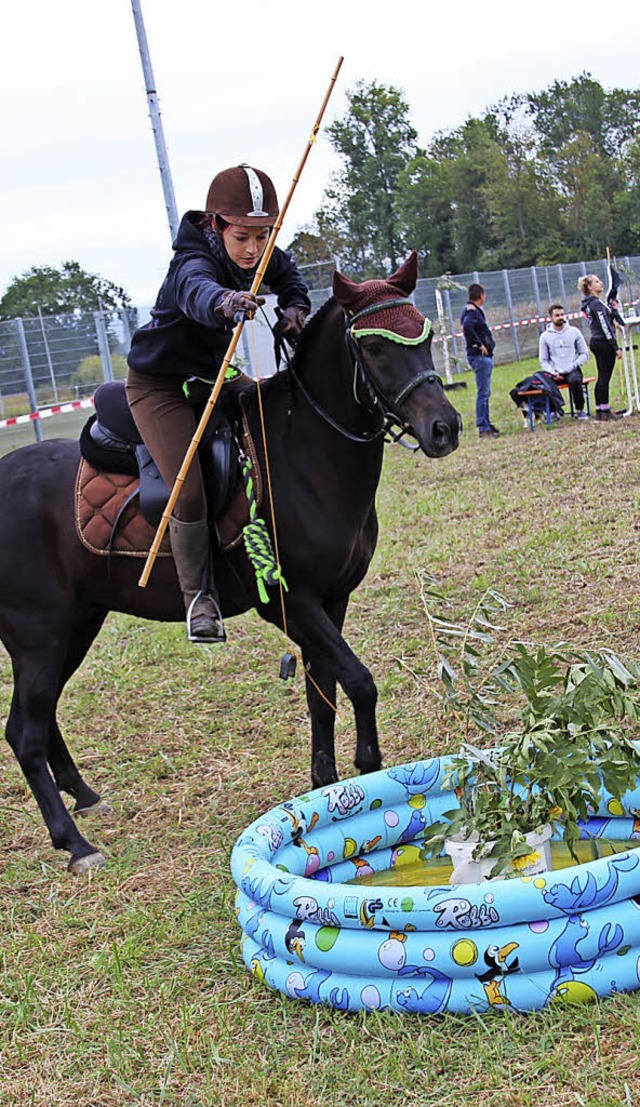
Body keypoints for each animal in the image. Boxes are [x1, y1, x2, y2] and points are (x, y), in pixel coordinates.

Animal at [0, 253, 458, 872]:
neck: (303, 453)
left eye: (424, 336)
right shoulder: (293, 601)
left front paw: (326, 782)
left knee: (40, 719)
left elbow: (321, 694)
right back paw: (75, 843)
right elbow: (359, 683)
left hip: (76, 623)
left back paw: (86, 796)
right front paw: (368, 764)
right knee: (23, 733)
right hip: (38, 635)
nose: (444, 428)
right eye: (376, 348)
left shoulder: (328, 601)